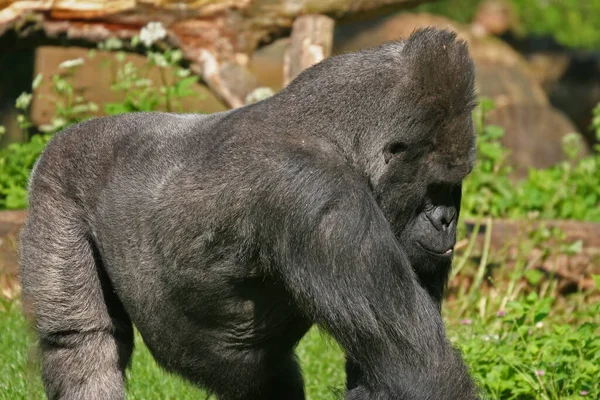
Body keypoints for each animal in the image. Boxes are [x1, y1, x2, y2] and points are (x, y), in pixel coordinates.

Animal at [18, 28, 480, 400]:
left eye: (453, 187)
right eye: (435, 186)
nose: (446, 220)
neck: (342, 135)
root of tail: (66, 133)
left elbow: (381, 373)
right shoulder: (322, 197)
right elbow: (421, 372)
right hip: (54, 187)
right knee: (79, 343)